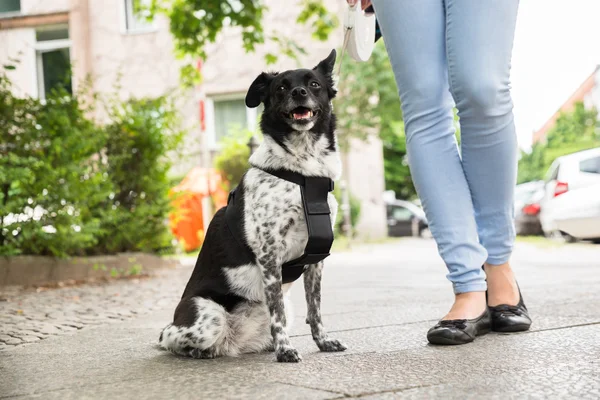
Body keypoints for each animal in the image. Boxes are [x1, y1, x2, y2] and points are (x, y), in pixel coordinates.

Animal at [159, 50, 346, 362]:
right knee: (167, 337)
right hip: (207, 318)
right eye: (280, 87)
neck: (304, 171)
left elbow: (315, 308)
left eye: (314, 84)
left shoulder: (316, 259)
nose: (298, 92)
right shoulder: (270, 253)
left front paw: (323, 342)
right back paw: (196, 351)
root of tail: (231, 344)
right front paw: (285, 350)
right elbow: (277, 313)